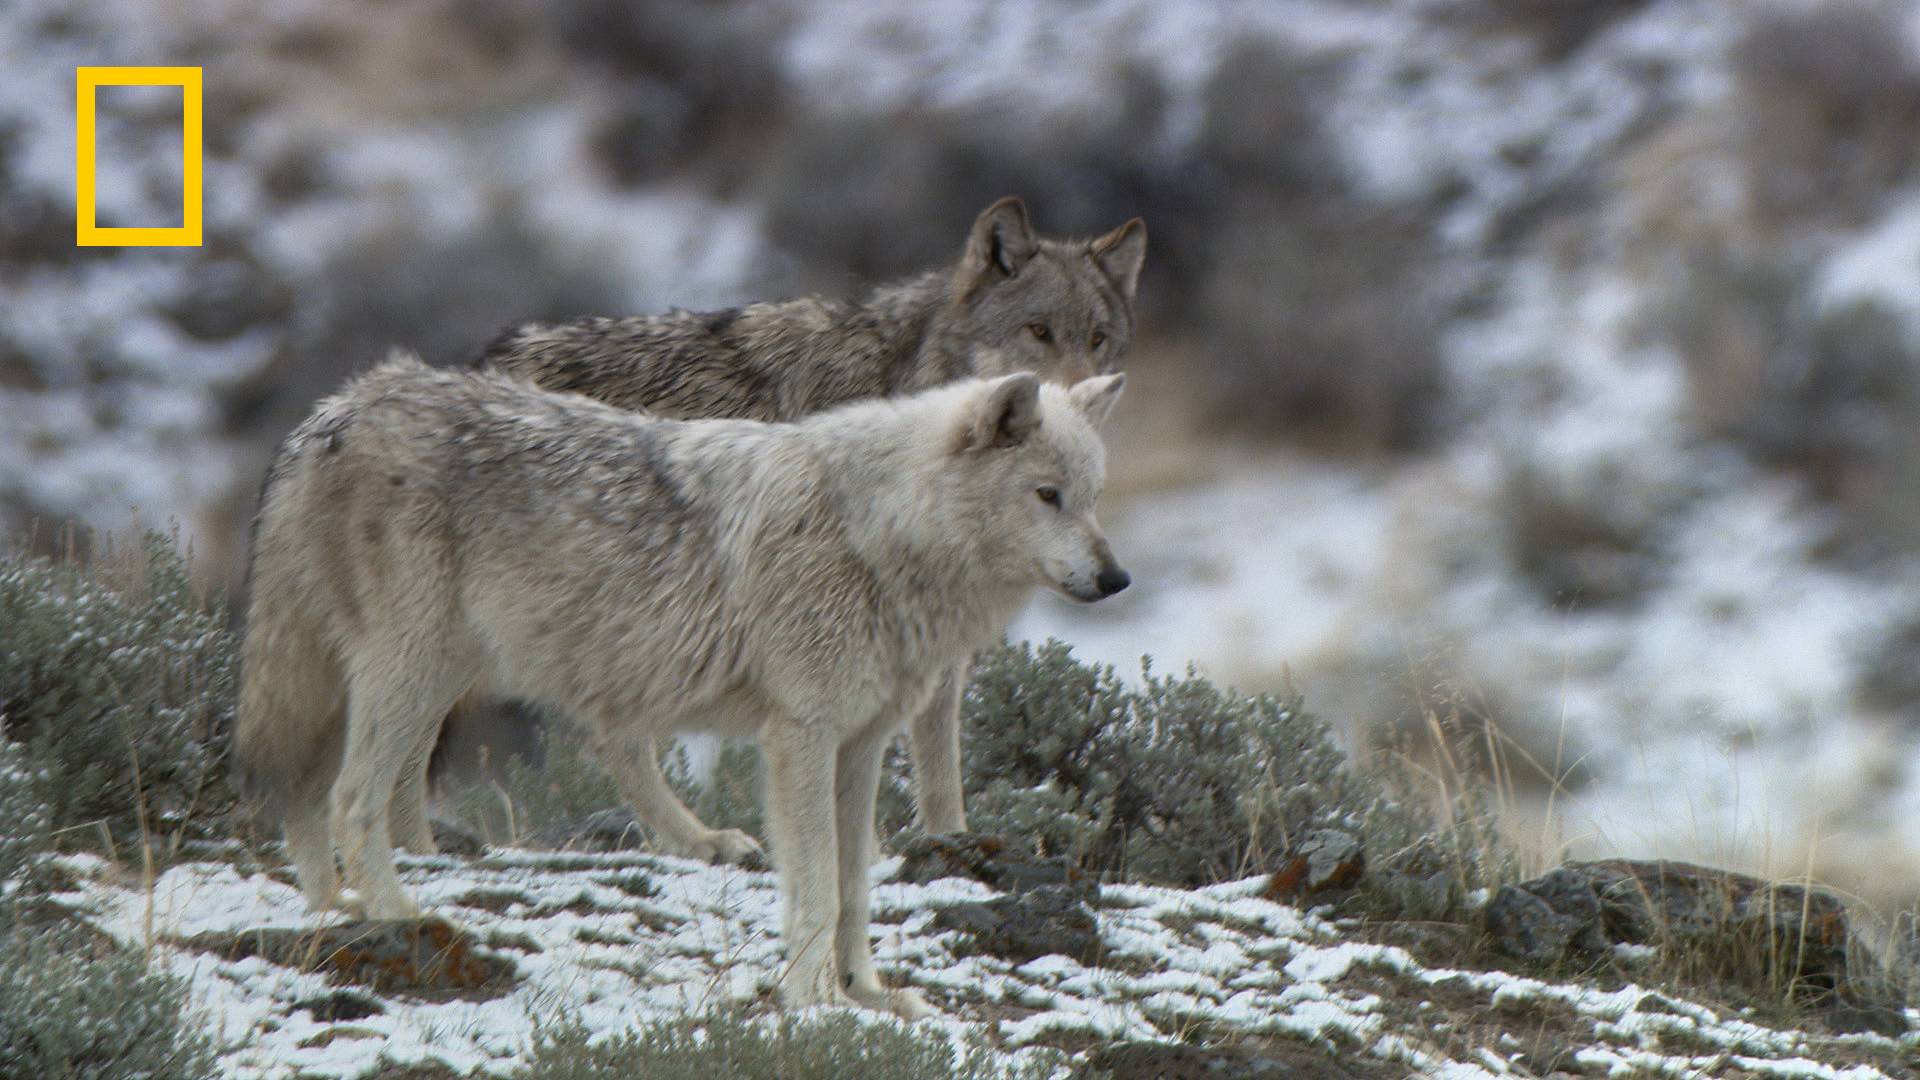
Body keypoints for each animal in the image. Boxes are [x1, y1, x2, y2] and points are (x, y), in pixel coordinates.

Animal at [240, 349, 1136, 1014]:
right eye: (1047, 496)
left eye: (1094, 498)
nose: (1116, 578)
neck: (876, 536)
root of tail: (336, 411)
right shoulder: (801, 739)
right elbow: (815, 889)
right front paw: (815, 1000)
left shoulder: (861, 747)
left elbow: (853, 891)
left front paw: (868, 992)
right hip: (416, 674)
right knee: (354, 797)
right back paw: (400, 918)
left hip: (419, 677)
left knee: (312, 796)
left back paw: (335, 910)